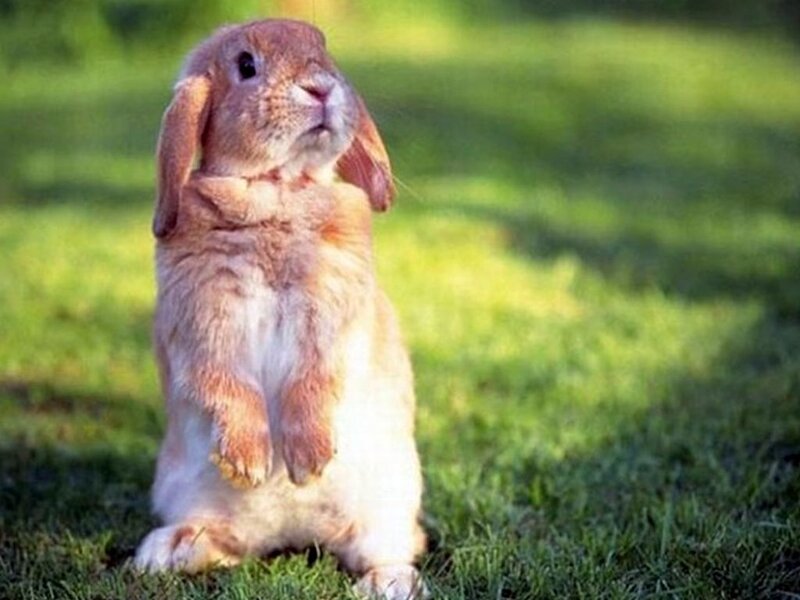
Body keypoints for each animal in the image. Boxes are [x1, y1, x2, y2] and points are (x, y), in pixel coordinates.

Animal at [133, 19, 427, 600]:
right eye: (246, 65)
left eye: (324, 50)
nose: (321, 88)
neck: (275, 190)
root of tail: (293, 534)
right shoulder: (205, 324)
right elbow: (227, 384)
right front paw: (249, 463)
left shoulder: (330, 320)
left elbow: (313, 381)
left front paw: (308, 461)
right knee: (226, 542)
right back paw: (167, 550)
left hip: (388, 507)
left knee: (391, 549)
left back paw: (387, 583)